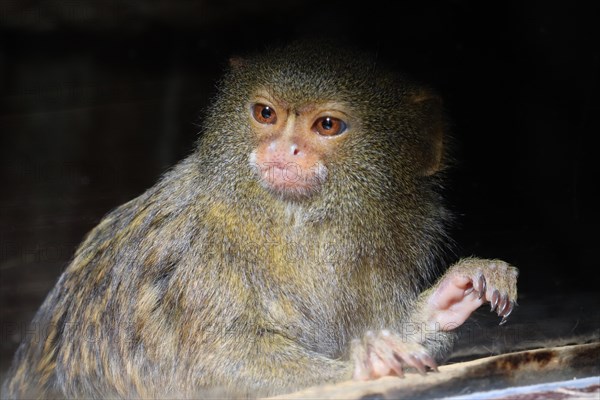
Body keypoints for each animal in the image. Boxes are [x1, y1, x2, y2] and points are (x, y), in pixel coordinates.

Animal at [1, 40, 516, 396]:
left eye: (327, 125)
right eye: (265, 113)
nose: (282, 148)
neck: (299, 226)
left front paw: (449, 301)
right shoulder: (197, 259)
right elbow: (216, 364)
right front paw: (365, 365)